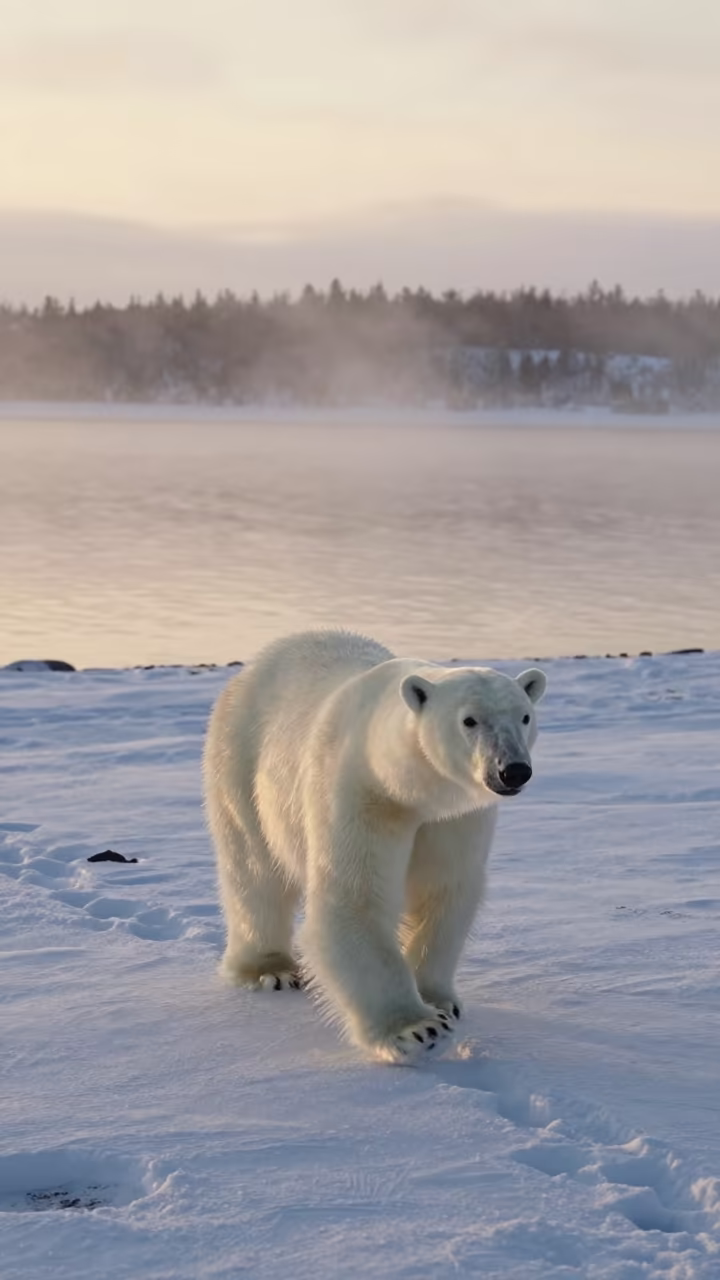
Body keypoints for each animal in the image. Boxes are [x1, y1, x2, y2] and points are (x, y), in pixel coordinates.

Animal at [203, 630, 546, 1064]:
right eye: (469, 720)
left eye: (524, 716)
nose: (512, 770)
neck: (406, 786)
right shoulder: (360, 792)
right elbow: (355, 896)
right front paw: (416, 1028)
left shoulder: (454, 817)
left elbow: (444, 891)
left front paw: (440, 1001)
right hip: (240, 758)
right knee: (254, 869)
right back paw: (268, 969)